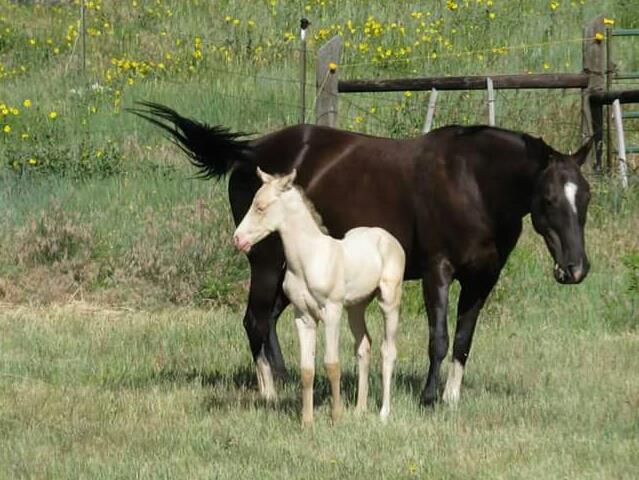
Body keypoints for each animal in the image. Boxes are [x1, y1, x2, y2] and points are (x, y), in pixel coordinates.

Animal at [234, 168, 404, 424]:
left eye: (260, 207)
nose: (238, 239)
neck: (309, 258)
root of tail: (388, 237)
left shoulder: (332, 312)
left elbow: (331, 364)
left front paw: (336, 416)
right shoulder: (303, 317)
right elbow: (307, 369)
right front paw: (307, 421)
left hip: (389, 301)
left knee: (388, 350)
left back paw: (383, 413)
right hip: (356, 307)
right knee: (363, 346)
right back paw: (360, 409)